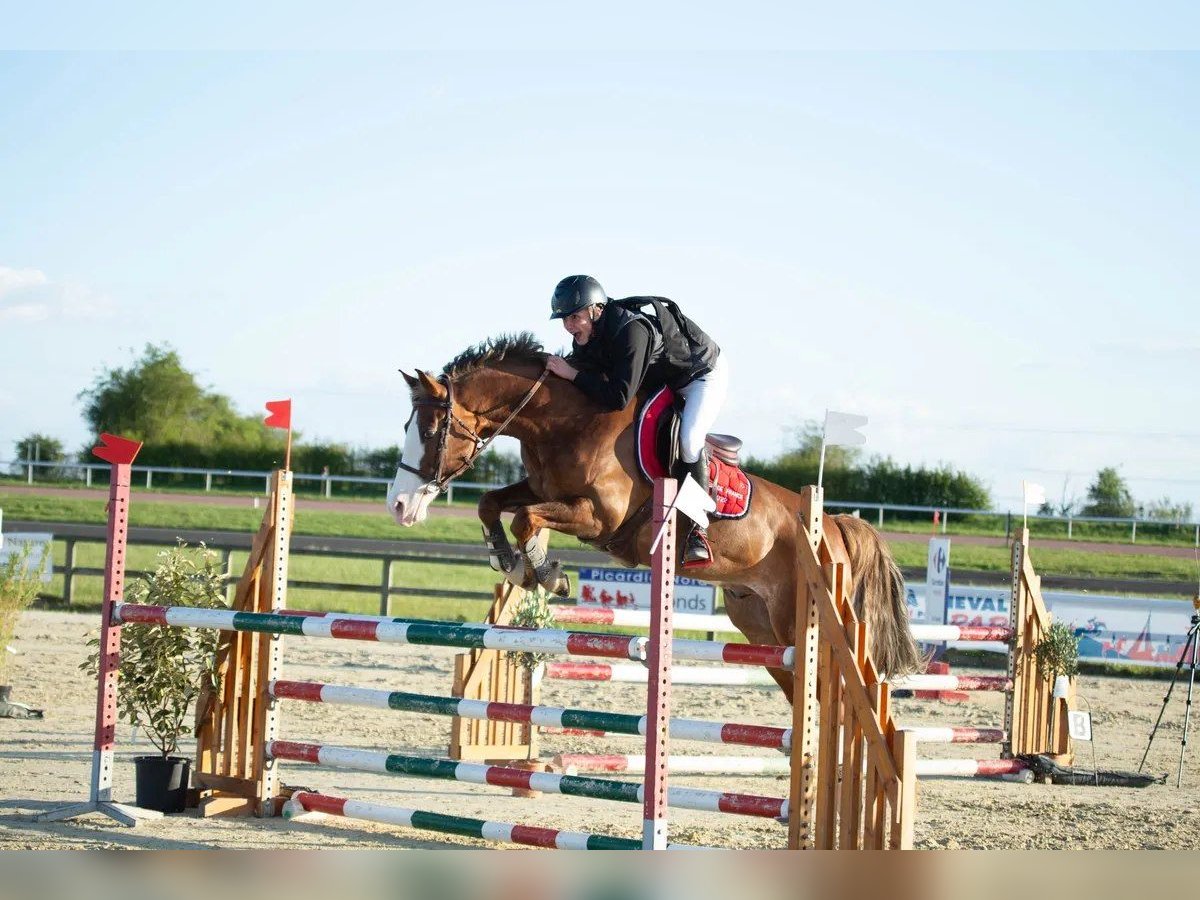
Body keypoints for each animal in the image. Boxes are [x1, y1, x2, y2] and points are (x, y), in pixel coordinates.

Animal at [388, 333, 921, 696]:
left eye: (432, 430)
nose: (398, 505)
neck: (566, 421)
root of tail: (830, 524)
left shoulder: (597, 517)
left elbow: (526, 520)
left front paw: (542, 569)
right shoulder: (542, 490)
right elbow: (492, 503)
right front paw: (513, 561)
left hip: (798, 621)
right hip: (759, 624)